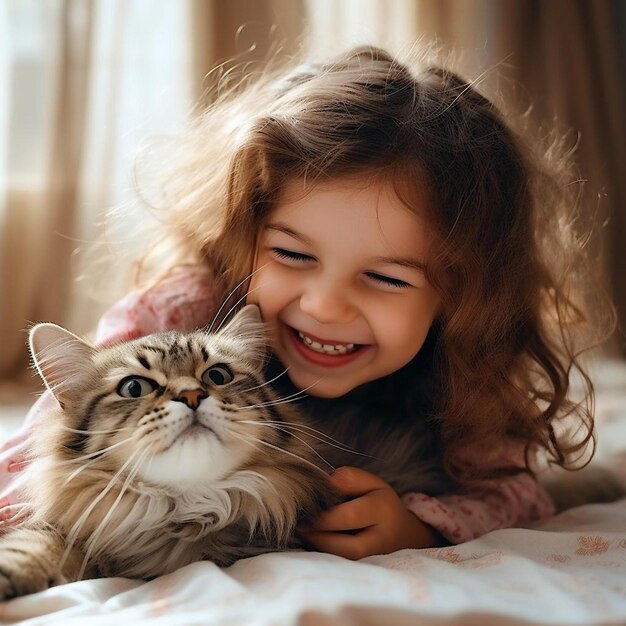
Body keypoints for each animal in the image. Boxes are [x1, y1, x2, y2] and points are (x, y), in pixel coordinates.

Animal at [0, 304, 450, 596]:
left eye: (216, 375)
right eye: (134, 387)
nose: (191, 395)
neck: (185, 508)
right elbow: (40, 542)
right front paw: (16, 569)